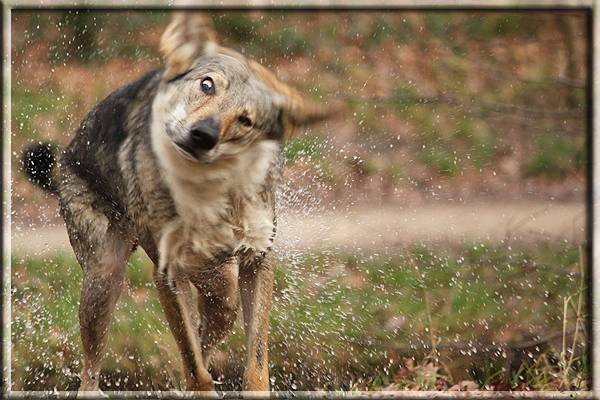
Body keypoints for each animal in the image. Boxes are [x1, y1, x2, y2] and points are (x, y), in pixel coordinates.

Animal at [23, 11, 330, 394]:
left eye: (246, 120)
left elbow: (254, 363)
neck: (210, 190)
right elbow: (194, 366)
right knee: (91, 372)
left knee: (208, 332)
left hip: (221, 294)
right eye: (207, 85)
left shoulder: (257, 261)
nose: (203, 135)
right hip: (103, 280)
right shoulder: (166, 273)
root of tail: (65, 155)